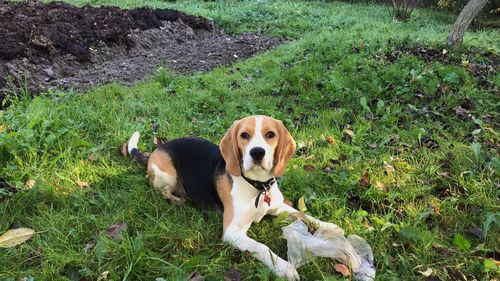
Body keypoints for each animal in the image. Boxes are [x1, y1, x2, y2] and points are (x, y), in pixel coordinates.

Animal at [127, 115, 324, 278]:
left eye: (270, 134)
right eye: (244, 135)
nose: (257, 152)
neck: (257, 185)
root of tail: (158, 148)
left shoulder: (279, 207)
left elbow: (306, 216)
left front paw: (329, 229)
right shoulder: (232, 232)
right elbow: (262, 247)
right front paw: (285, 268)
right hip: (166, 174)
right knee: (160, 190)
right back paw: (178, 200)